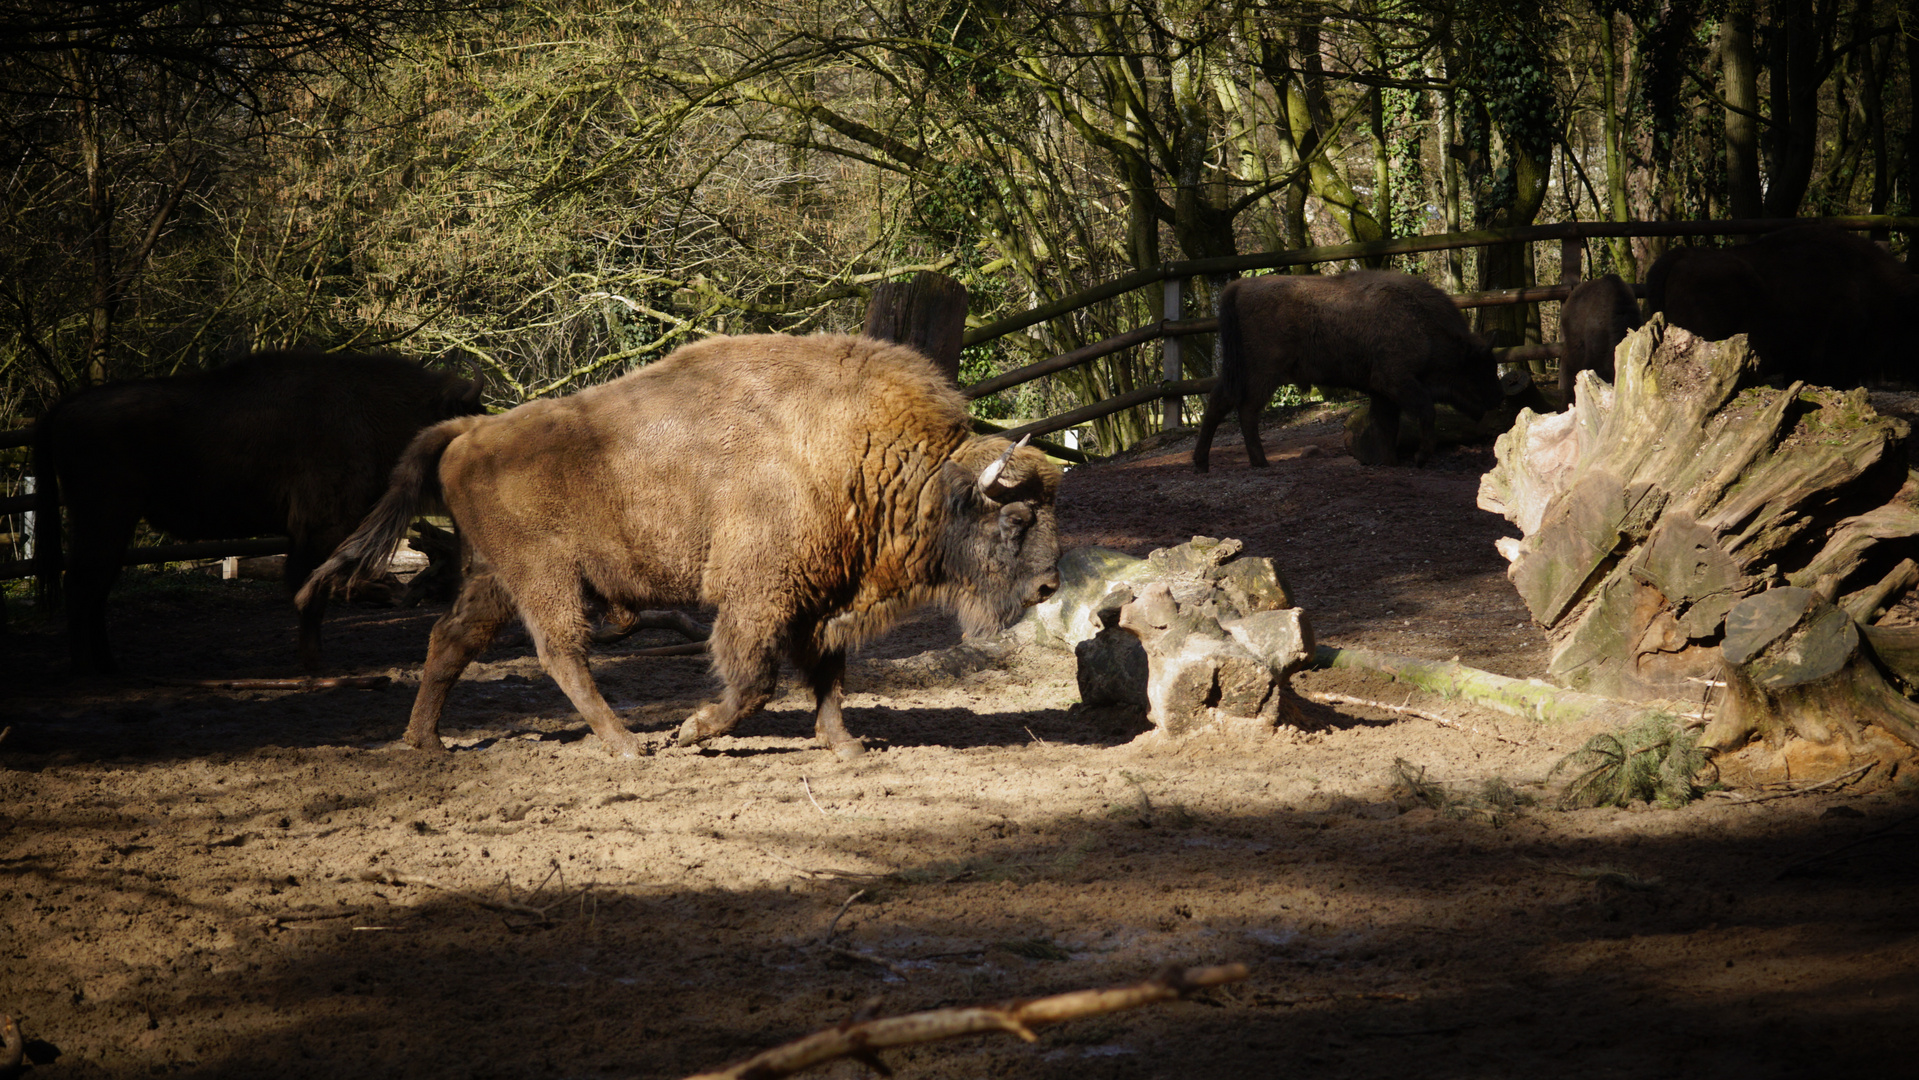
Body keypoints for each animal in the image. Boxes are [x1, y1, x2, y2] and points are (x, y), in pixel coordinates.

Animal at [34, 352, 487, 675]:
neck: (372, 409)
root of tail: (64, 407)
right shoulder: (320, 530)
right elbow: (310, 592)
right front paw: (313, 662)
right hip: (103, 519)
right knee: (83, 586)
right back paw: (87, 671)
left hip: (113, 525)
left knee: (95, 589)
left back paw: (109, 667)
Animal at [295, 331, 1066, 759]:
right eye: (1015, 518)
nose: (1048, 587)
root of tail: (471, 430)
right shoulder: (758, 599)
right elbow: (753, 681)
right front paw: (691, 731)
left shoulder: (818, 600)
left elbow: (828, 674)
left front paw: (846, 746)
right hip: (546, 577)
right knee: (559, 650)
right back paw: (628, 744)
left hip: (492, 578)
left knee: (451, 640)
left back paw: (425, 743)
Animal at [1189, 268, 1504, 471]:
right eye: (1480, 368)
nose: (1497, 400)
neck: (1424, 324)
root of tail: (1239, 287)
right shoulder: (1396, 381)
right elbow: (1425, 411)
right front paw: (1420, 458)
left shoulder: (1383, 392)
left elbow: (1386, 426)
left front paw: (1389, 462)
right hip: (1264, 372)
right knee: (1246, 409)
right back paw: (1259, 462)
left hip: (1239, 371)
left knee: (1220, 402)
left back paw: (1203, 464)